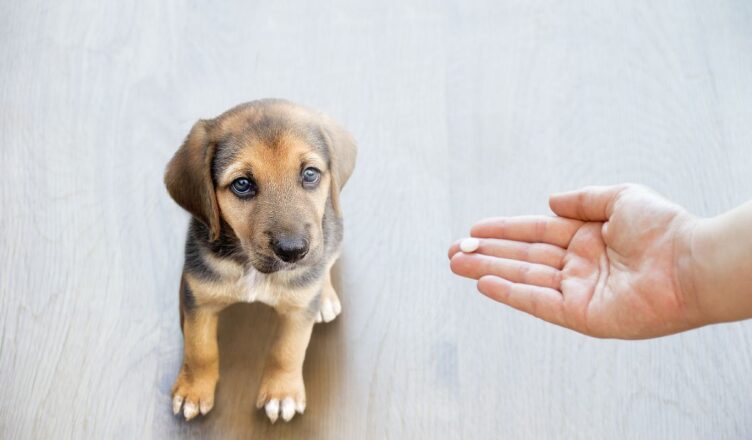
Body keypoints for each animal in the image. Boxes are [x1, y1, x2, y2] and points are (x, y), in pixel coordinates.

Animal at [164, 99, 356, 422]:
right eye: (242, 184)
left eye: (310, 174)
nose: (293, 251)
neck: (251, 268)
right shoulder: (198, 298)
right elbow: (200, 348)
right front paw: (194, 389)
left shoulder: (298, 311)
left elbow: (287, 350)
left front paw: (281, 394)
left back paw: (325, 296)